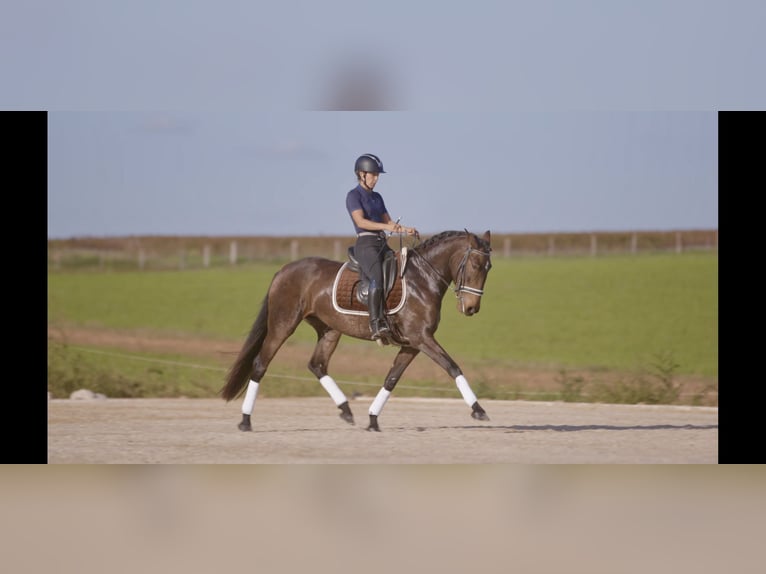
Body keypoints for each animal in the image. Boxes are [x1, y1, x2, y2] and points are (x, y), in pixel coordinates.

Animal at [220, 230, 498, 432]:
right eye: (475, 264)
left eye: (489, 268)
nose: (471, 308)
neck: (422, 279)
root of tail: (284, 270)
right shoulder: (422, 339)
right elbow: (453, 367)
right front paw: (478, 409)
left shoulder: (411, 344)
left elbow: (391, 379)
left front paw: (373, 420)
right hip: (283, 324)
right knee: (260, 364)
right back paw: (245, 421)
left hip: (330, 330)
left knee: (317, 365)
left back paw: (346, 410)